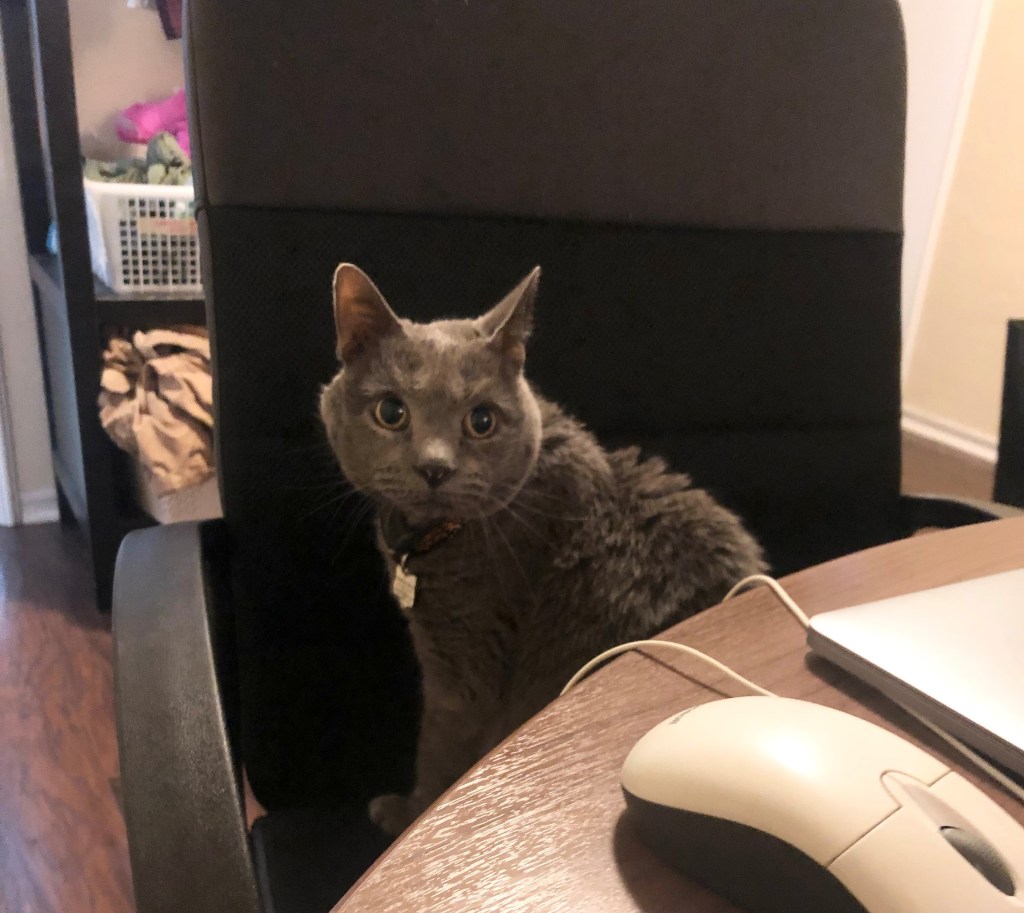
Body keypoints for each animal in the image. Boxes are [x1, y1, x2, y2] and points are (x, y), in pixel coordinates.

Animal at [320, 263, 766, 836]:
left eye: (481, 421)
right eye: (391, 412)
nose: (434, 468)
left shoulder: (462, 660)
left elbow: (438, 752)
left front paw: (406, 814)